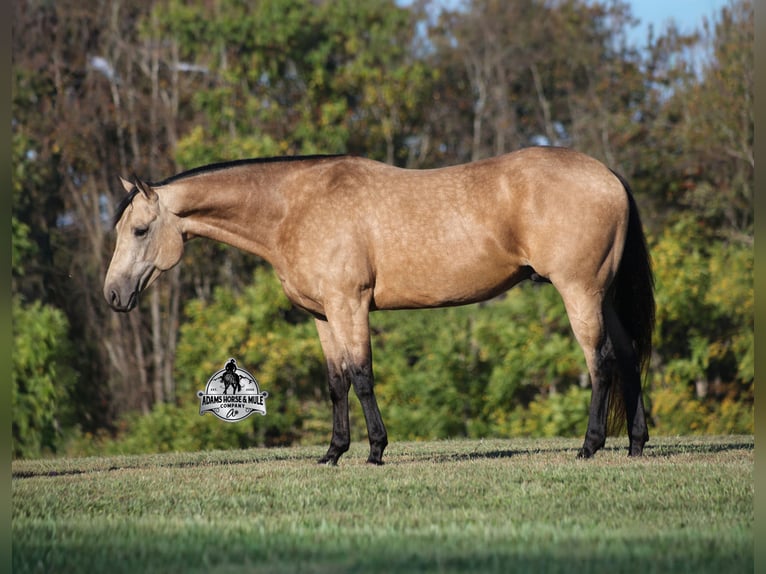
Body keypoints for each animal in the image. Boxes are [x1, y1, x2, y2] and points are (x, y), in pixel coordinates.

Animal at [103, 147, 654, 465]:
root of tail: (607, 174)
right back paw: (635, 444)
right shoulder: (324, 315)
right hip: (602, 295)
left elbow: (362, 376)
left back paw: (589, 446)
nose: (113, 294)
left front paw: (374, 451)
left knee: (601, 361)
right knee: (628, 357)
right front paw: (332, 453)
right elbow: (336, 382)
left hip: (579, 290)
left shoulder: (349, 305)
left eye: (140, 230)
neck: (294, 208)